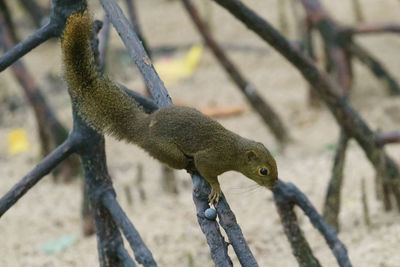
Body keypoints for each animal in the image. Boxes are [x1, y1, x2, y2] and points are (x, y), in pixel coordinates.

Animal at [61, 11, 278, 204]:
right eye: (263, 171)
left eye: (275, 163)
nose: (275, 184)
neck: (233, 150)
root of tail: (144, 127)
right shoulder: (211, 158)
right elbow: (207, 170)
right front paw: (216, 188)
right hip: (166, 151)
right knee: (181, 162)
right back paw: (190, 167)